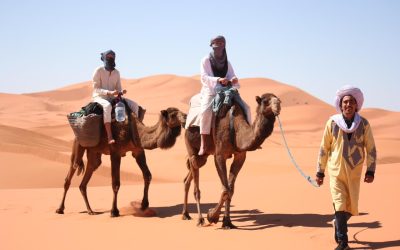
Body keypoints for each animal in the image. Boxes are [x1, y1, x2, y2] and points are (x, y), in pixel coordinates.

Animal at [55, 106, 187, 217]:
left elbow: (148, 175)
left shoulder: (138, 151)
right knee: (71, 171)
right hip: (78, 144)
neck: (135, 131)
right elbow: (116, 183)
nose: (186, 117)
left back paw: (90, 210)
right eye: (173, 115)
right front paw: (114, 211)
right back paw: (60, 209)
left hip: (94, 152)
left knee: (86, 177)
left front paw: (144, 205)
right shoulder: (115, 153)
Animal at [182, 93, 282, 228]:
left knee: (189, 176)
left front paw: (227, 222)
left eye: (279, 100)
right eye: (266, 101)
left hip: (204, 155)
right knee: (195, 175)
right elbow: (225, 190)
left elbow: (231, 189)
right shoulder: (219, 155)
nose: (278, 105)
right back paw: (200, 219)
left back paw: (185, 214)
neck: (235, 129)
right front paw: (212, 216)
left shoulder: (240, 156)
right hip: (191, 146)